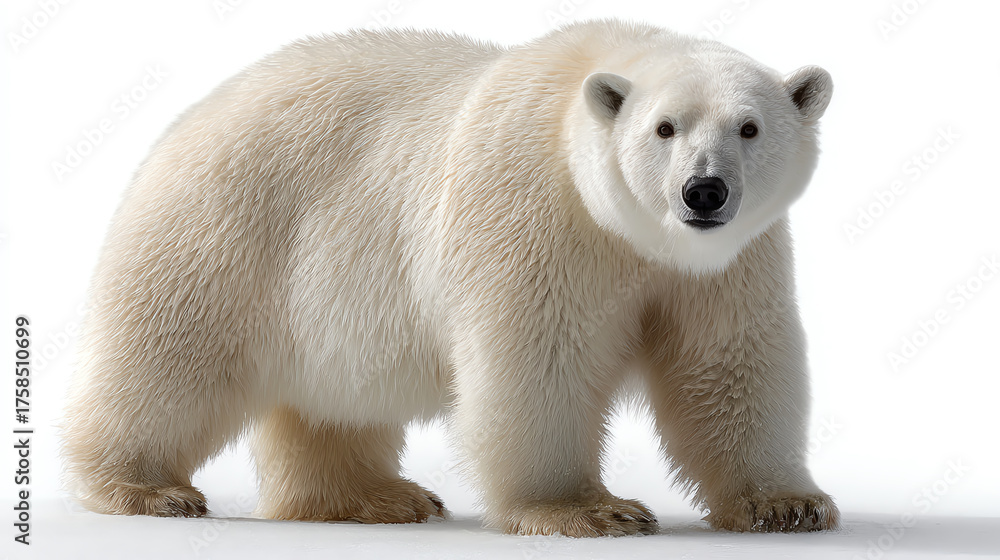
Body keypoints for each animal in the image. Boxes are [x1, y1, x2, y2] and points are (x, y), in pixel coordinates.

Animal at [62, 19, 837, 537]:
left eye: (749, 128)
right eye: (665, 128)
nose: (703, 192)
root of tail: (188, 120)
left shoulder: (734, 262)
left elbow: (729, 363)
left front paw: (787, 503)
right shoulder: (534, 212)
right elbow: (539, 358)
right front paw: (588, 508)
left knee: (330, 403)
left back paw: (375, 498)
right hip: (225, 235)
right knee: (171, 360)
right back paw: (144, 487)